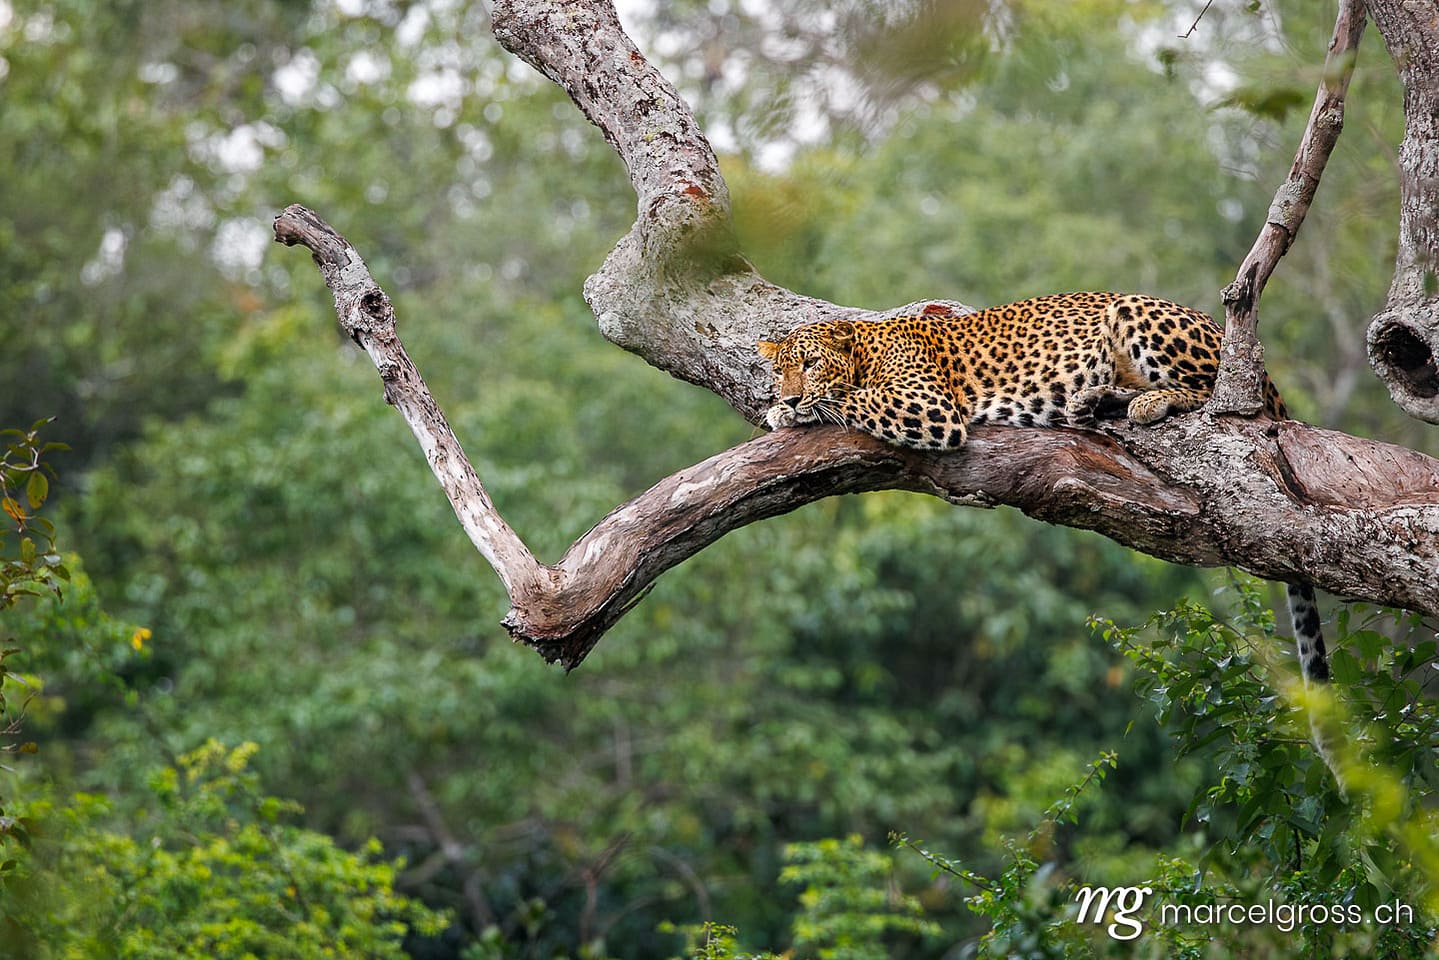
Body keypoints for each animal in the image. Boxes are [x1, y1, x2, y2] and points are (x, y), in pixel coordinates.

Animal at [757, 291, 1330, 687]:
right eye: (780, 368)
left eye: (810, 364)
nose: (788, 395)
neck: (865, 349)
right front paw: (780, 410)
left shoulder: (929, 407)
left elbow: (854, 400)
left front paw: (801, 410)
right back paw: (1095, 400)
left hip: (1137, 315)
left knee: (1213, 394)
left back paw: (1146, 402)